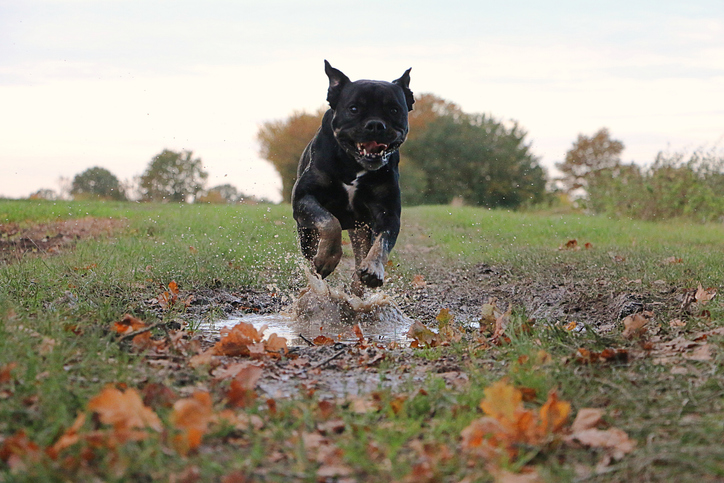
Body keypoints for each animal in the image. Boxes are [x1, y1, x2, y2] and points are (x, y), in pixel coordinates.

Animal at [290, 60, 412, 294]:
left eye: (394, 109)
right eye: (354, 108)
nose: (375, 124)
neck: (352, 163)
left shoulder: (389, 212)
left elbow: (382, 242)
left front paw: (373, 270)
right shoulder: (304, 197)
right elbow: (330, 222)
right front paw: (327, 259)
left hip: (360, 228)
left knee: (361, 253)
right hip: (305, 231)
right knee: (312, 251)